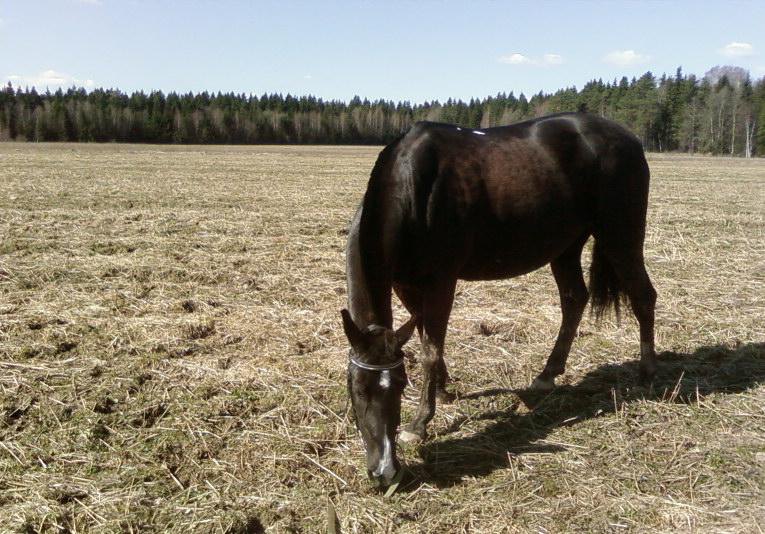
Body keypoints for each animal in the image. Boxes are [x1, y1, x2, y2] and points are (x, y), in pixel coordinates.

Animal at [340, 113, 656, 490]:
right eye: (358, 390)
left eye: (399, 386)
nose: (385, 472)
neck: (412, 186)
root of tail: (628, 138)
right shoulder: (405, 284)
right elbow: (425, 336)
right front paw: (443, 390)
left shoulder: (441, 282)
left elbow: (431, 348)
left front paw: (419, 424)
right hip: (566, 245)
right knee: (574, 299)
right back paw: (548, 374)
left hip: (620, 236)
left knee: (643, 296)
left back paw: (647, 371)